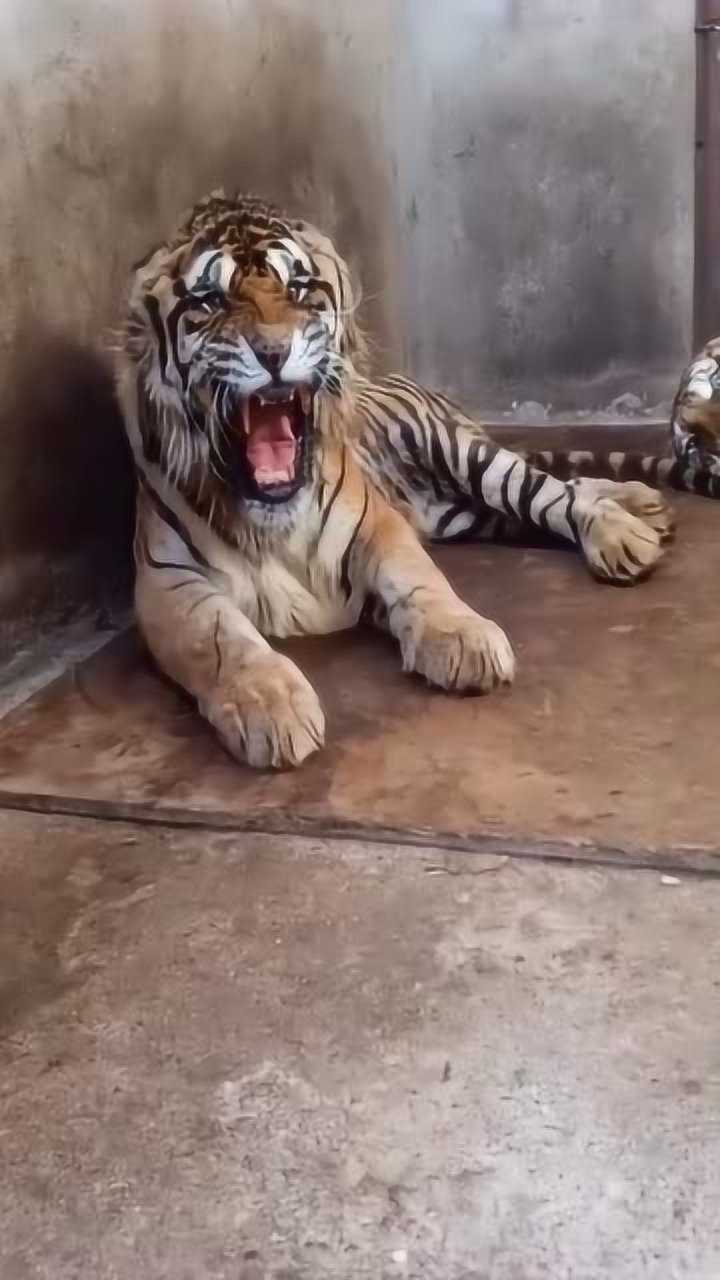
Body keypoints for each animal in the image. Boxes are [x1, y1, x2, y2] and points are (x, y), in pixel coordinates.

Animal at [116, 189, 678, 770]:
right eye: (212, 301)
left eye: (297, 289)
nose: (273, 353)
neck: (272, 518)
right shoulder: (167, 579)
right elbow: (219, 640)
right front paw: (272, 708)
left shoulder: (379, 526)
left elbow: (420, 580)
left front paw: (465, 639)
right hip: (469, 516)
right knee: (543, 504)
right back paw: (644, 509)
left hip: (467, 456)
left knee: (550, 491)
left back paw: (627, 532)